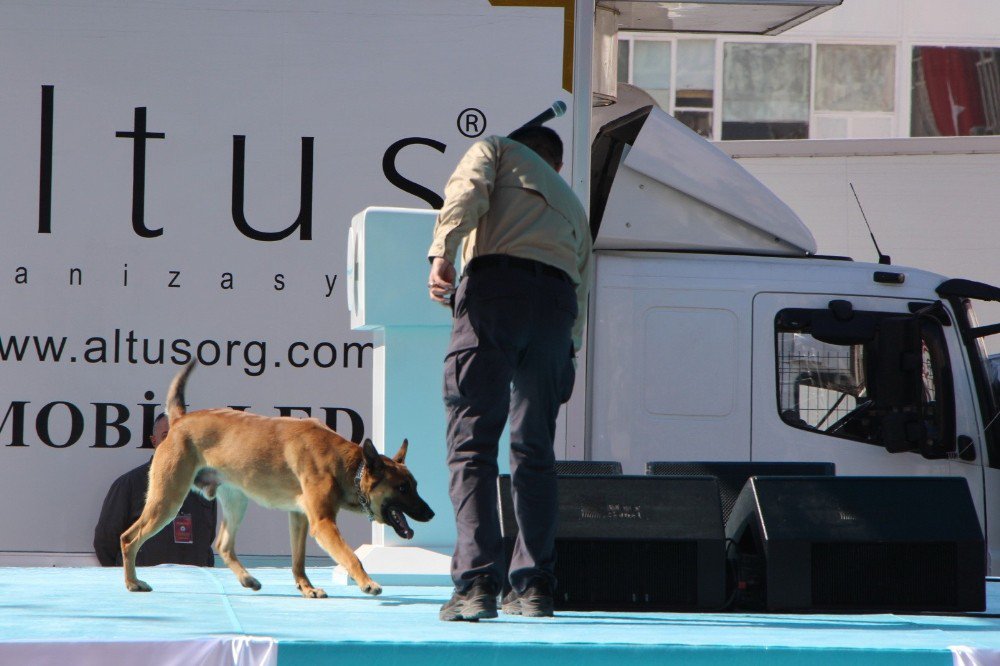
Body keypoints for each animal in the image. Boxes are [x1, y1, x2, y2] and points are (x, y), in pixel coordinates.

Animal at [119, 360, 432, 592]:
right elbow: (351, 556)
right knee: (129, 538)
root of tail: (180, 420)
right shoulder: (323, 523)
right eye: (403, 488)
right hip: (168, 501)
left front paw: (306, 588)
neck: (348, 464)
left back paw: (247, 578)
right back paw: (132, 583)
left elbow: (298, 561)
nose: (431, 514)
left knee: (223, 545)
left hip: (236, 501)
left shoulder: (300, 518)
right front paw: (367, 583)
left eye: (415, 486)